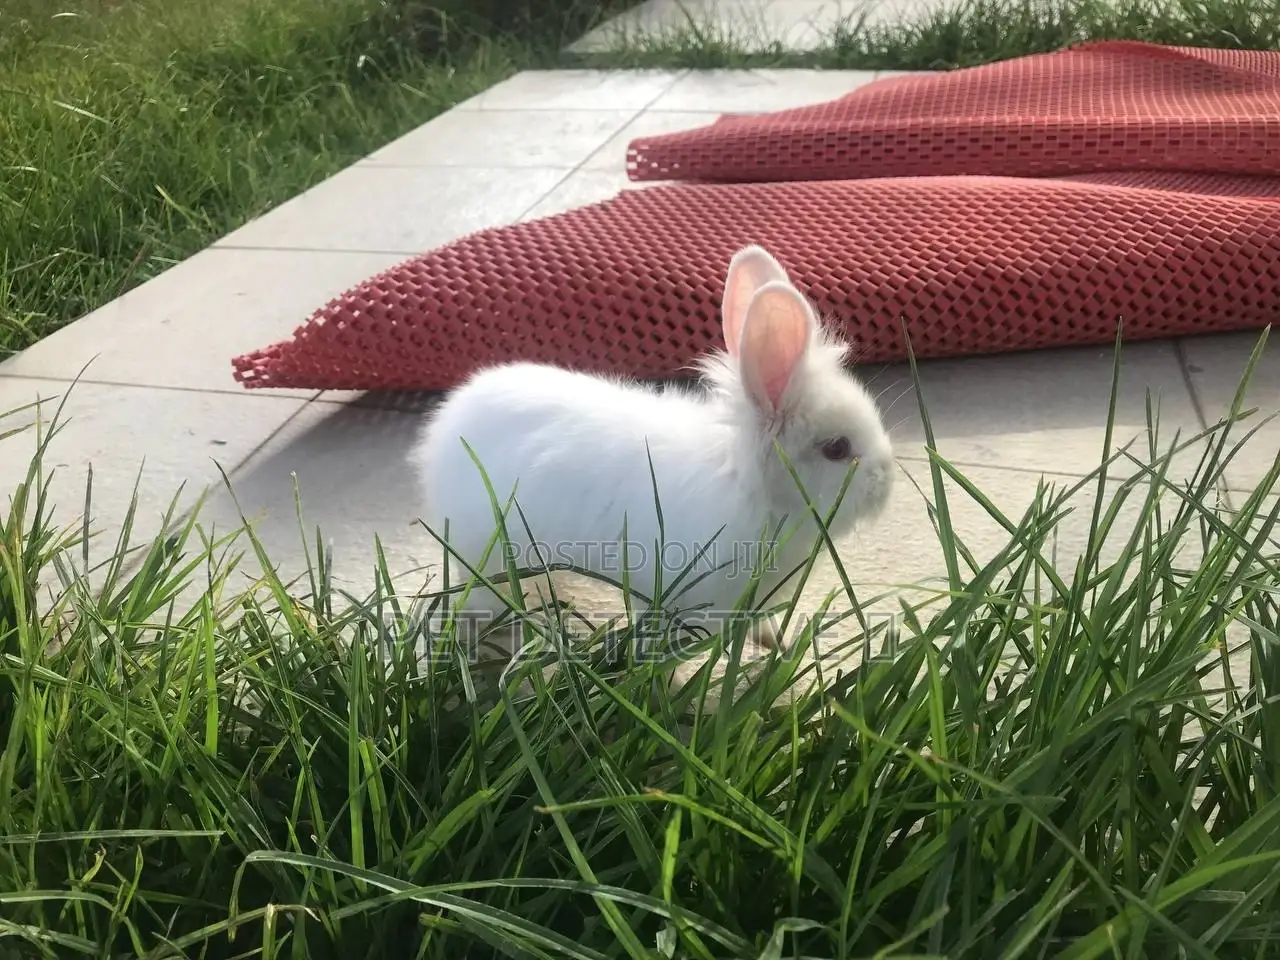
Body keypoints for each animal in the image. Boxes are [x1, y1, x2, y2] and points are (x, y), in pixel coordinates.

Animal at [409, 243, 894, 682]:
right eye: (837, 448)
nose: (886, 483)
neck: (746, 482)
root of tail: (443, 428)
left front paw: (777, 640)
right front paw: (672, 687)